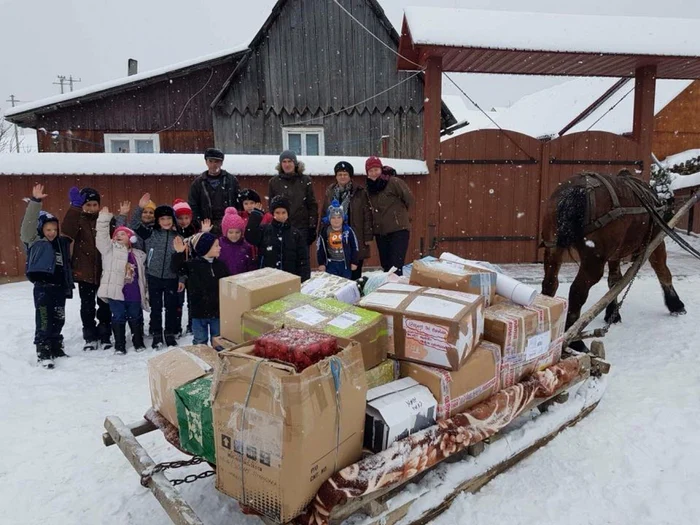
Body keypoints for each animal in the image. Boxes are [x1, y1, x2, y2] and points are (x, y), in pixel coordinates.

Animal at [540, 170, 684, 348]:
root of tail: (574, 191)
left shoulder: (615, 254)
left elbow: (615, 282)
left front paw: (612, 314)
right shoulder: (656, 241)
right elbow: (663, 271)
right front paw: (675, 304)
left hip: (552, 248)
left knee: (550, 284)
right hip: (594, 260)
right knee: (577, 291)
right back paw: (575, 340)